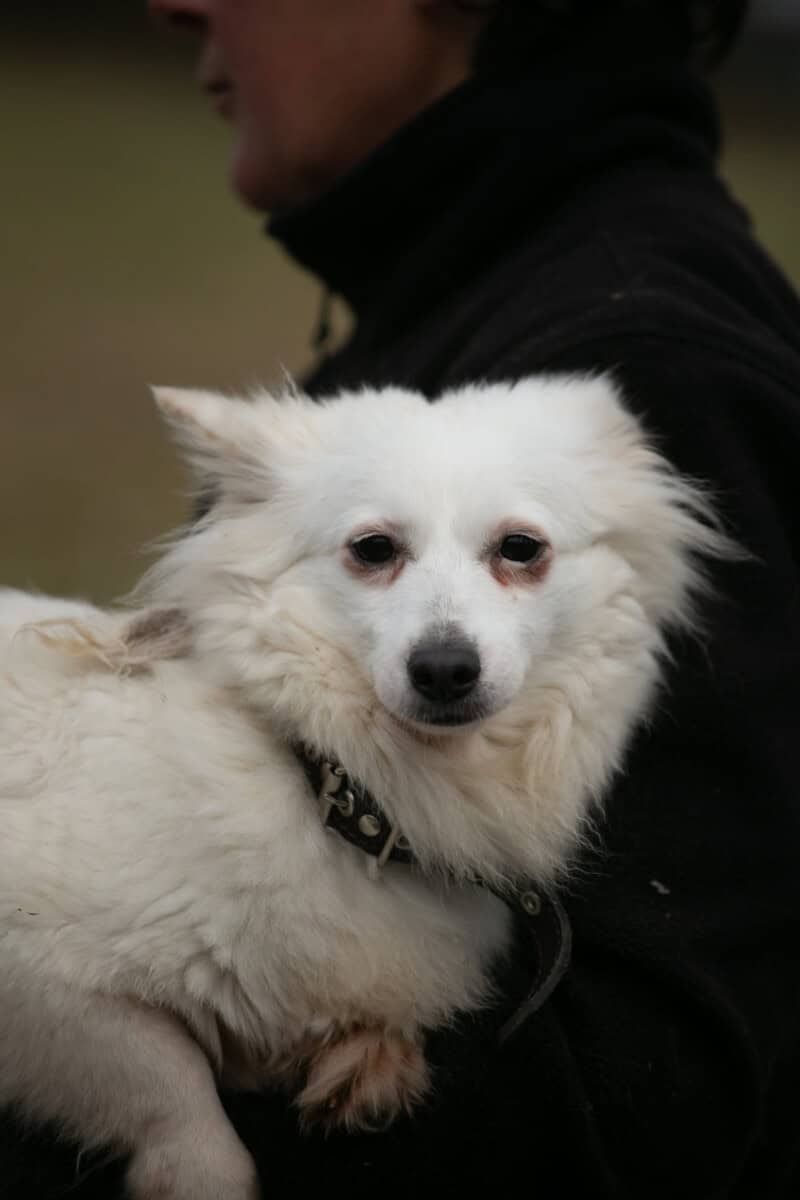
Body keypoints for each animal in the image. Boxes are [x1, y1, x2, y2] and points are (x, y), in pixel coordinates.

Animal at [0, 376, 727, 1199]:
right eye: (373, 549)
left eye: (521, 549)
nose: (443, 668)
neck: (339, 792)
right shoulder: (47, 984)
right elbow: (182, 1104)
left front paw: (366, 1069)